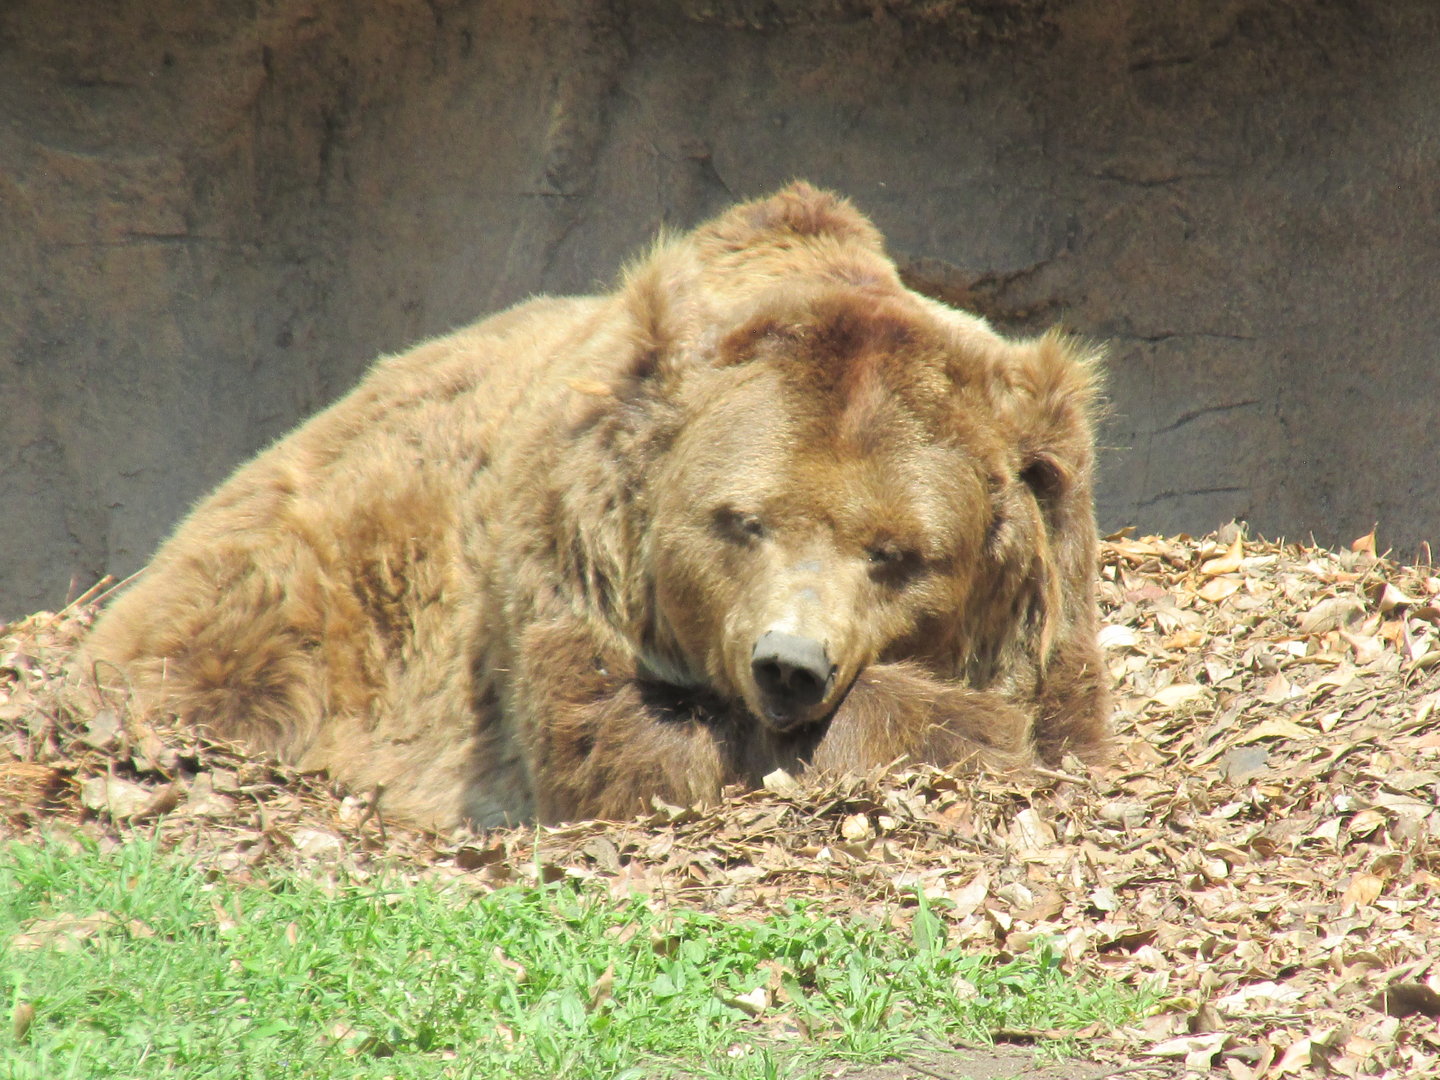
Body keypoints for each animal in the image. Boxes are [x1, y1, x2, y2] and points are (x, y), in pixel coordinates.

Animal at [84, 183, 1110, 830]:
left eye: (897, 553)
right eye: (743, 520)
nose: (789, 665)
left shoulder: (1058, 580)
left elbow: (1063, 721)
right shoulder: (570, 546)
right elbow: (622, 742)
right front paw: (964, 727)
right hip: (316, 578)